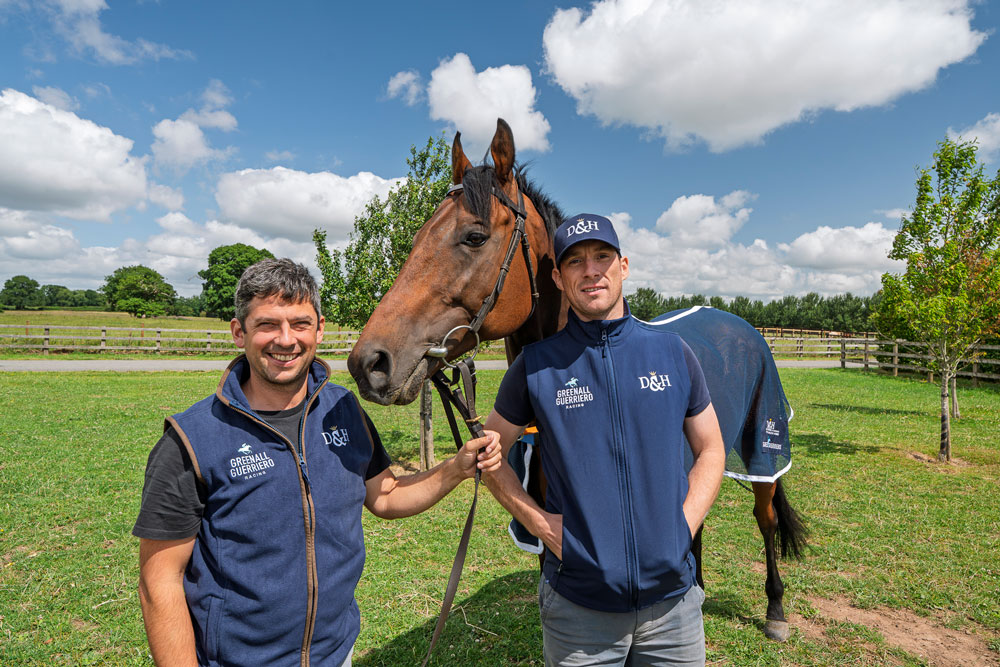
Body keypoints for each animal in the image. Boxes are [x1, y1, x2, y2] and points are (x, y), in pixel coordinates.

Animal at [348, 119, 807, 642]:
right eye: (419, 236)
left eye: (474, 236)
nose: (369, 361)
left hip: (762, 446)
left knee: (765, 518)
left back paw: (775, 608)